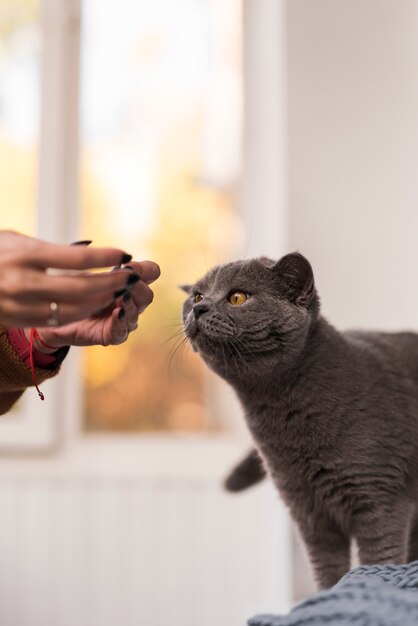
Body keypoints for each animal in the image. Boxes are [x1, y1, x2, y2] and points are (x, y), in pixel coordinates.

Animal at [182, 251, 418, 588]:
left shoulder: (381, 500)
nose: (199, 308)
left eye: (237, 297)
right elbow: (328, 572)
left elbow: (379, 562)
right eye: (197, 296)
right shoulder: (307, 511)